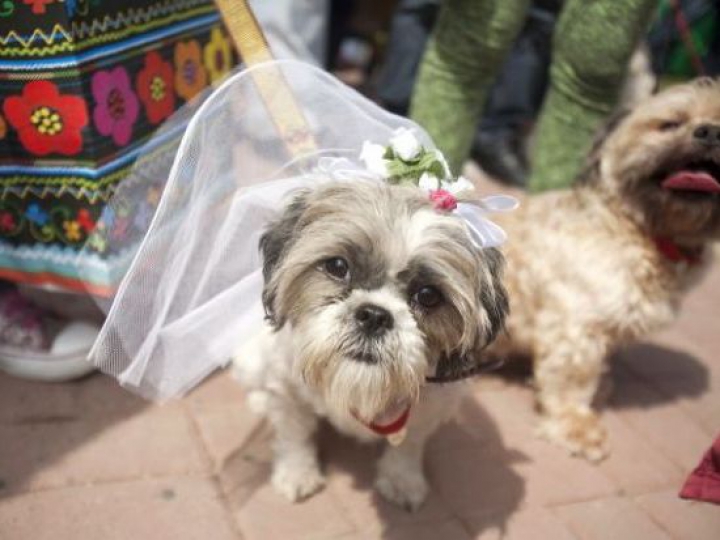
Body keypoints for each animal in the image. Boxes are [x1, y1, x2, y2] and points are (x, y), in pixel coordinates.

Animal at [492, 79, 720, 460]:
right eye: (670, 124)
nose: (711, 132)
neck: (635, 229)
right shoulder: (575, 324)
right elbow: (573, 378)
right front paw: (576, 424)